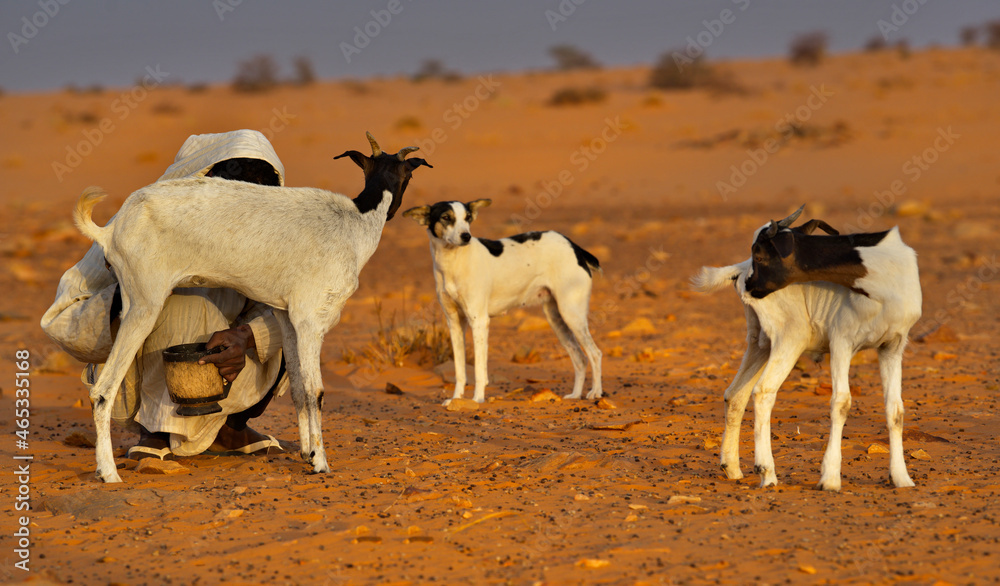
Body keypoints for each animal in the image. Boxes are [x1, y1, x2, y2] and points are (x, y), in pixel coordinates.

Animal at [73, 133, 431, 483]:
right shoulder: (311, 319)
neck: (354, 223)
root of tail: (112, 229)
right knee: (102, 391)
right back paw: (108, 472)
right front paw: (320, 461)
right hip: (144, 305)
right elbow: (315, 391)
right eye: (409, 175)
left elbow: (298, 389)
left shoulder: (288, 318)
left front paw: (307, 452)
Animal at [403, 199, 603, 404]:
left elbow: (479, 370)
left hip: (572, 314)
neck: (453, 263)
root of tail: (574, 246)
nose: (466, 236)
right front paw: (456, 399)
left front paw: (477, 399)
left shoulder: (479, 321)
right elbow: (459, 371)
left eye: (468, 218)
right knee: (580, 358)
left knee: (595, 354)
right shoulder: (455, 323)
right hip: (556, 318)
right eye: (446, 217)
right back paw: (575, 395)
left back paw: (595, 392)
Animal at [692, 205, 921, 491]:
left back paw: (732, 468)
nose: (748, 285)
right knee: (764, 391)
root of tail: (738, 269)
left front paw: (902, 478)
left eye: (759, 253)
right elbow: (841, 402)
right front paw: (830, 478)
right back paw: (766, 472)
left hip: (761, 342)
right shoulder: (842, 341)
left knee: (735, 394)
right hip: (791, 336)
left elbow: (895, 410)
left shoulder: (892, 347)